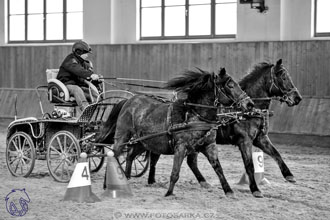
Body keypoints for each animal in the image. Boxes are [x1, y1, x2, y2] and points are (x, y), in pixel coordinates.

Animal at [96, 68, 254, 197]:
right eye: (230, 85)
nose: (250, 104)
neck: (194, 114)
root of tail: (128, 100)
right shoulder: (181, 147)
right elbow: (175, 172)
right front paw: (169, 193)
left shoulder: (209, 146)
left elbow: (218, 169)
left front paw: (229, 191)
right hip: (122, 137)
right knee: (114, 155)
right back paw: (107, 185)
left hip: (144, 141)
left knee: (130, 155)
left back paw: (126, 178)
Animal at [144, 58, 302, 198]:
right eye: (283, 77)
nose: (297, 98)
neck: (246, 111)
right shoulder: (244, 141)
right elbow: (249, 165)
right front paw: (255, 189)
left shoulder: (260, 138)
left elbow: (276, 154)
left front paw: (289, 176)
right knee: (156, 156)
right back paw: (152, 180)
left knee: (190, 161)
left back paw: (203, 182)